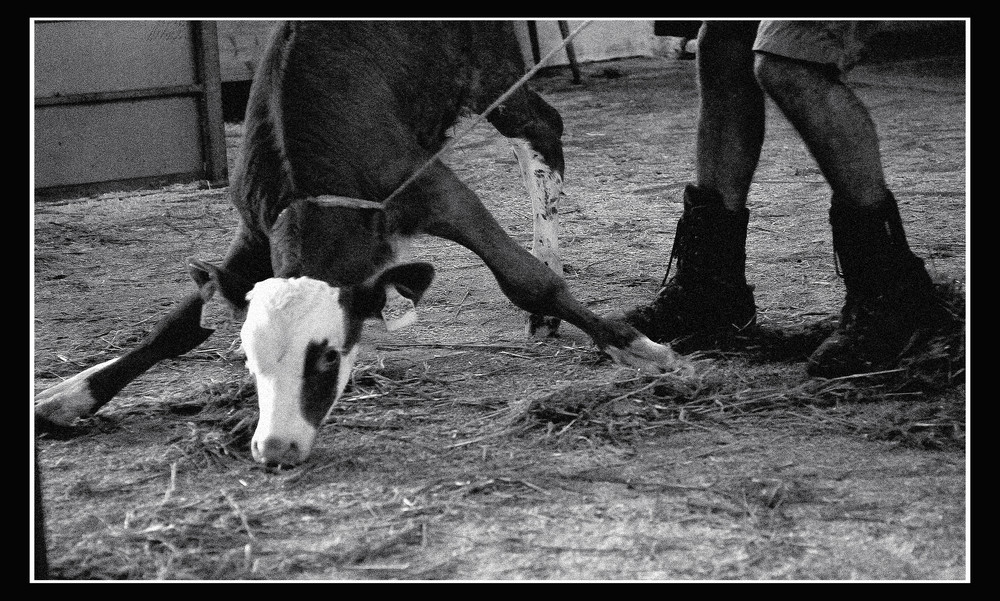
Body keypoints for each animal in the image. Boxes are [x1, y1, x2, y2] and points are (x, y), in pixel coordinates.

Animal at [33, 22, 680, 464]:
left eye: (326, 356)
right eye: (249, 360)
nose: (276, 448)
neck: (312, 180)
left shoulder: (434, 189)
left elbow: (524, 278)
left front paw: (635, 344)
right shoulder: (253, 226)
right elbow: (178, 323)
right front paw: (73, 395)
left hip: (492, 64)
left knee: (542, 127)